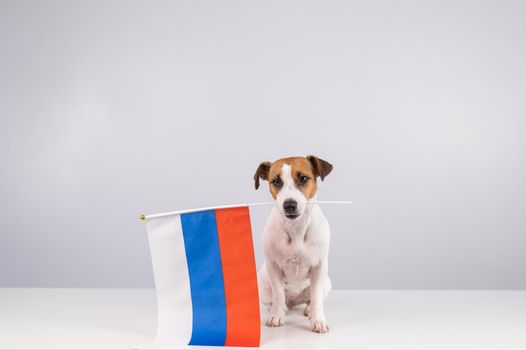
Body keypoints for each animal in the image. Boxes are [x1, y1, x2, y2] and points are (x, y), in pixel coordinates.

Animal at [255, 155, 334, 334]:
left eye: (303, 178)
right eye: (276, 181)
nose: (289, 205)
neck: (296, 228)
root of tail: (293, 301)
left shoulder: (319, 267)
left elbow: (316, 296)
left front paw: (318, 320)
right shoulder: (273, 267)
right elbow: (278, 294)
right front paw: (276, 316)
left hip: (326, 283)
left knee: (312, 298)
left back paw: (309, 309)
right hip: (263, 287)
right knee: (276, 300)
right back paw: (279, 309)